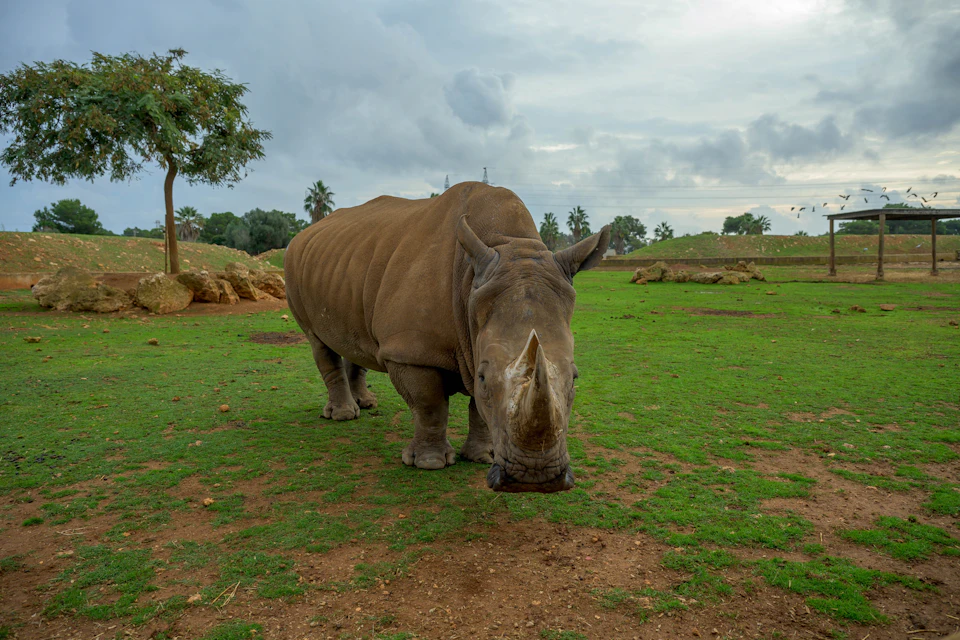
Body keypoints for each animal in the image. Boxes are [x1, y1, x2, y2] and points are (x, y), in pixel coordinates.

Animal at [284, 182, 610, 493]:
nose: (534, 478)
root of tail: (305, 233)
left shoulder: (476, 339)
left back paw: (367, 404)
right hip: (294, 266)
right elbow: (430, 404)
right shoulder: (410, 351)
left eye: (574, 377)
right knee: (317, 341)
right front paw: (429, 463)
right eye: (483, 377)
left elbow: (477, 408)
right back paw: (343, 415)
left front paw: (483, 456)